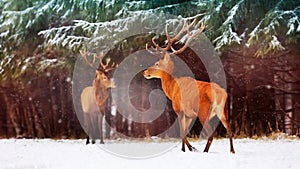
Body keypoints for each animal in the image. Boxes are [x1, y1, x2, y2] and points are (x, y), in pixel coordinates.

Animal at [143, 20, 234, 153]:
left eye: (157, 63)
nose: (145, 72)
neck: (172, 89)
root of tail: (220, 94)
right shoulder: (189, 114)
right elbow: (184, 132)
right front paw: (184, 149)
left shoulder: (178, 109)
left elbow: (181, 133)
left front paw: (191, 148)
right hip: (223, 111)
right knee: (230, 129)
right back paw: (232, 151)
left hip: (203, 111)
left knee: (211, 134)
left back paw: (204, 151)